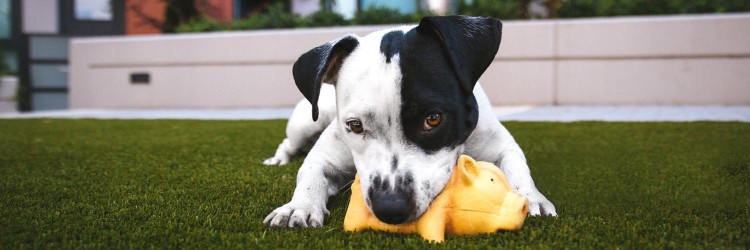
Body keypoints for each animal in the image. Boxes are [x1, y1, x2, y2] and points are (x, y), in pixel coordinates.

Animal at [264, 14, 560, 228]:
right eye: (355, 125)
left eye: (433, 119)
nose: (390, 208)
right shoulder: (324, 156)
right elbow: (310, 174)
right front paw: (298, 207)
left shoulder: (501, 145)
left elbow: (517, 167)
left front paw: (531, 197)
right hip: (306, 122)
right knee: (288, 143)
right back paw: (278, 160)